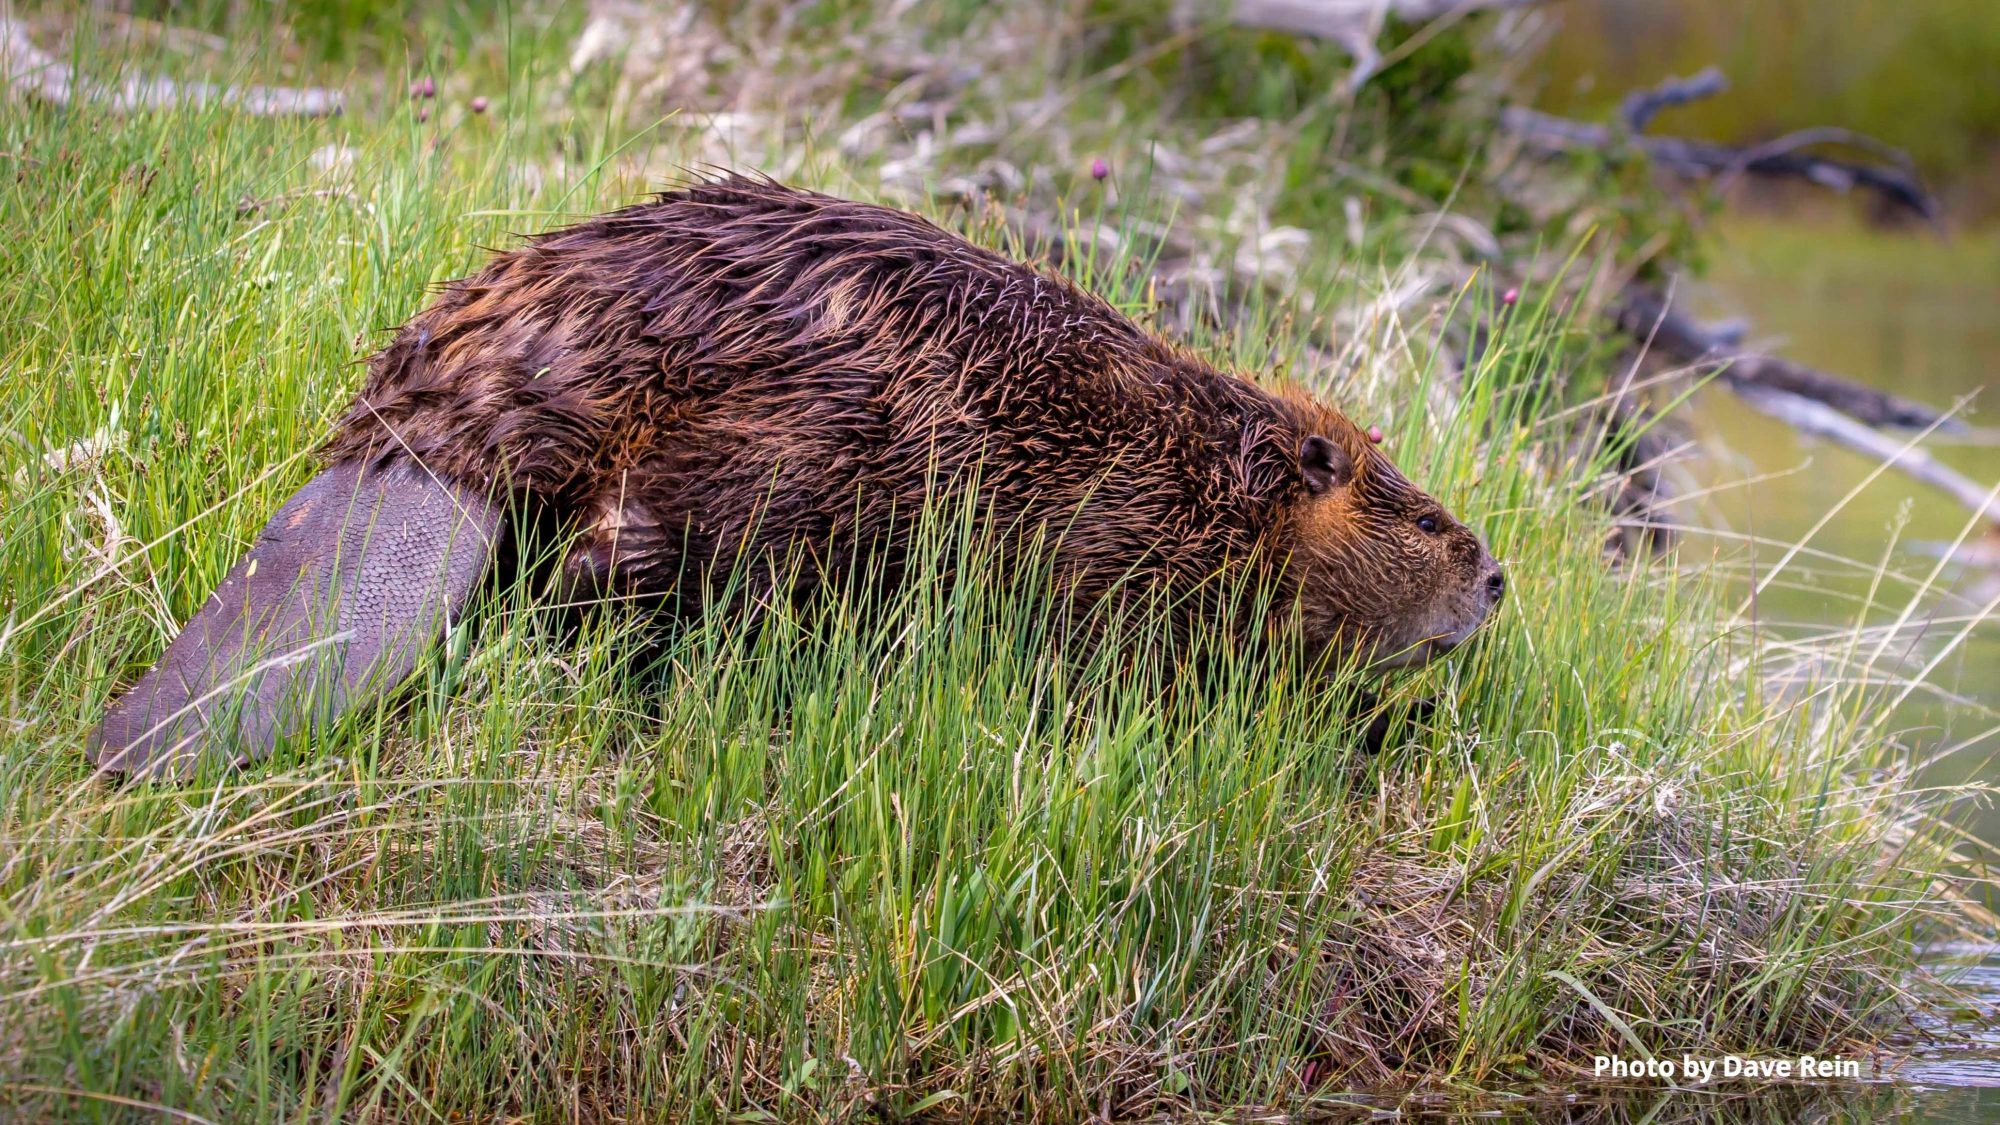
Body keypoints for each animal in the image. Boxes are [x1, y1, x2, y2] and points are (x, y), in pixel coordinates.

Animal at [90, 175, 1504, 776]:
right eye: (1427, 515)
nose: (1496, 579)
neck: (1194, 467)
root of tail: (428, 446)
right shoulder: (1121, 550)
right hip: (770, 486)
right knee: (611, 576)